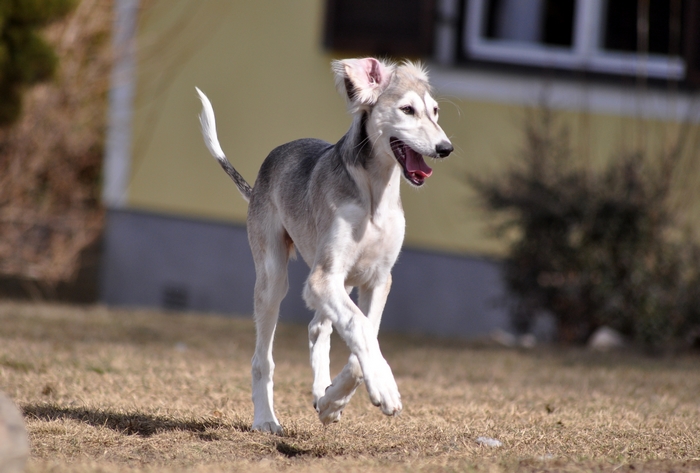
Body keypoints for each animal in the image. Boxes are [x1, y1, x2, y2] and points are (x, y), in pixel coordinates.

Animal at [196, 57, 454, 434]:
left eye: (435, 111)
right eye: (407, 109)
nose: (445, 148)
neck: (373, 194)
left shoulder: (378, 279)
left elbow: (365, 339)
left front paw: (334, 401)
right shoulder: (322, 279)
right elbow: (362, 329)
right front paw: (385, 388)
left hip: (340, 282)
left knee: (319, 327)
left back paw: (323, 393)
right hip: (275, 278)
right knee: (263, 358)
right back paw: (266, 418)